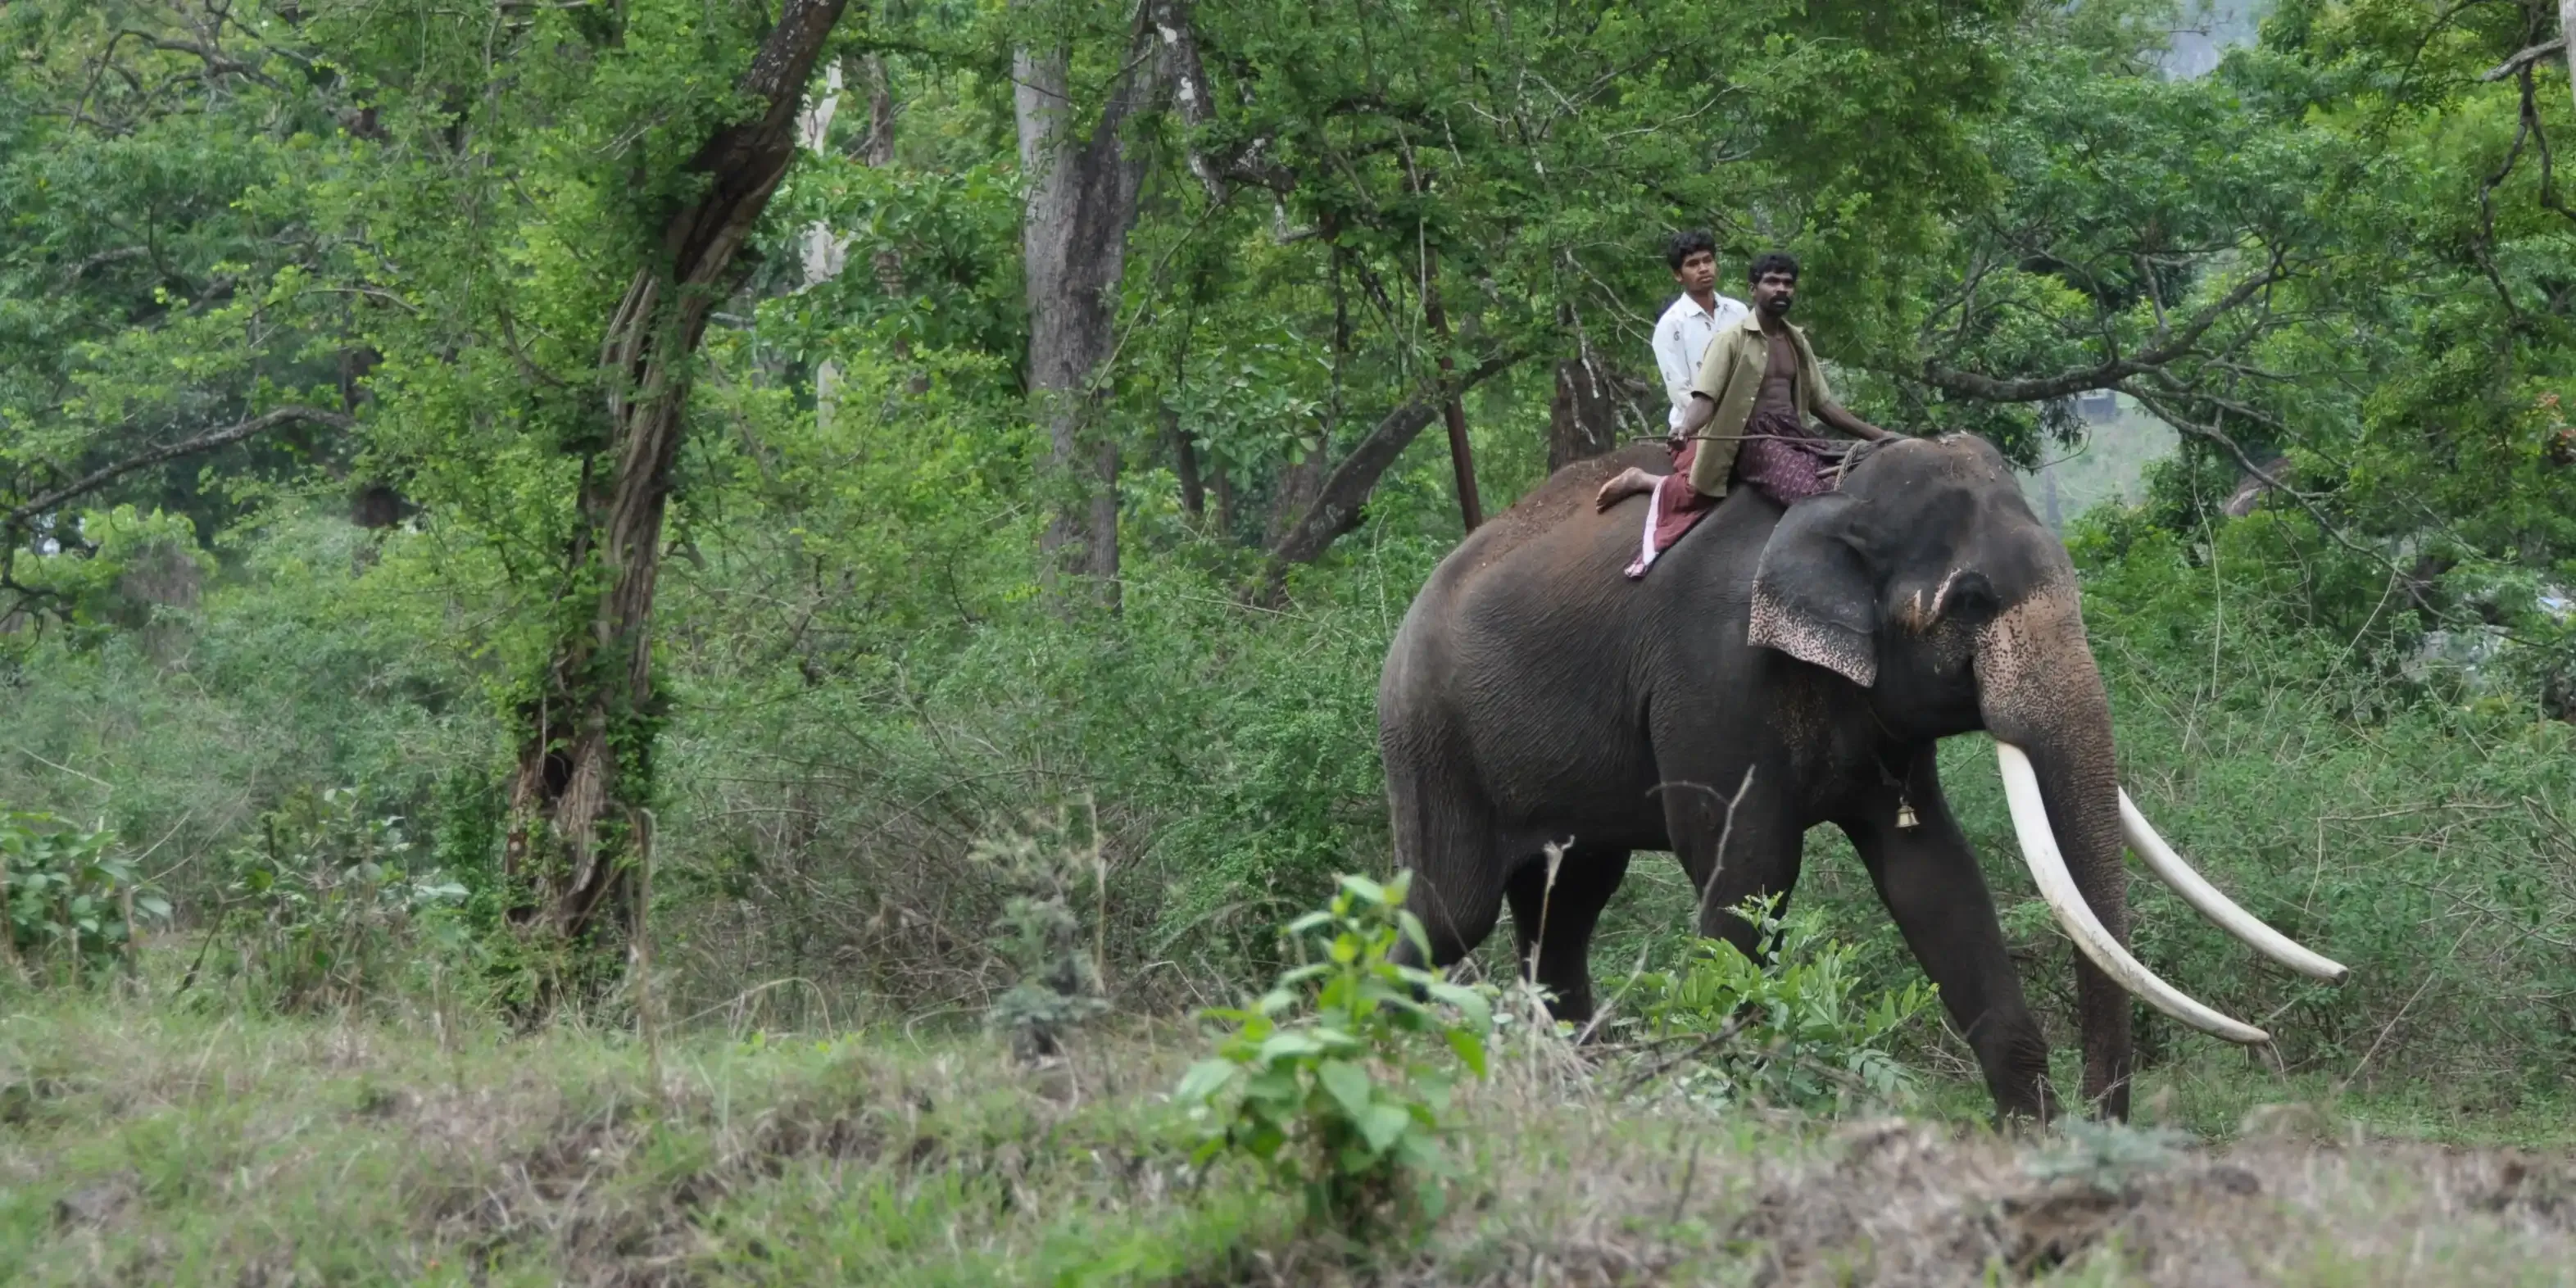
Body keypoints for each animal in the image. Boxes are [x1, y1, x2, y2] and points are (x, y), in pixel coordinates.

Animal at [1381, 433, 2349, 1118]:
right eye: (1970, 602)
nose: (2096, 1124)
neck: (1839, 494)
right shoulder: (1710, 678)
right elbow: (1748, 878)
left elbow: (1932, 873)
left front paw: (2028, 1139)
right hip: (1430, 738)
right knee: (1451, 909)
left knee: (1567, 908)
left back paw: (1576, 1081)